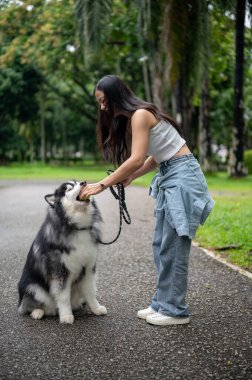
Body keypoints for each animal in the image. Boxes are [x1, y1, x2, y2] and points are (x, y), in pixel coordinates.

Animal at [17, 181, 106, 324]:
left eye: (78, 182)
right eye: (69, 188)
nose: (84, 182)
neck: (77, 227)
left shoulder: (88, 268)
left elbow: (91, 291)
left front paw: (96, 308)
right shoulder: (60, 271)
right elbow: (63, 296)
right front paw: (66, 316)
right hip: (34, 287)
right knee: (29, 306)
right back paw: (37, 312)